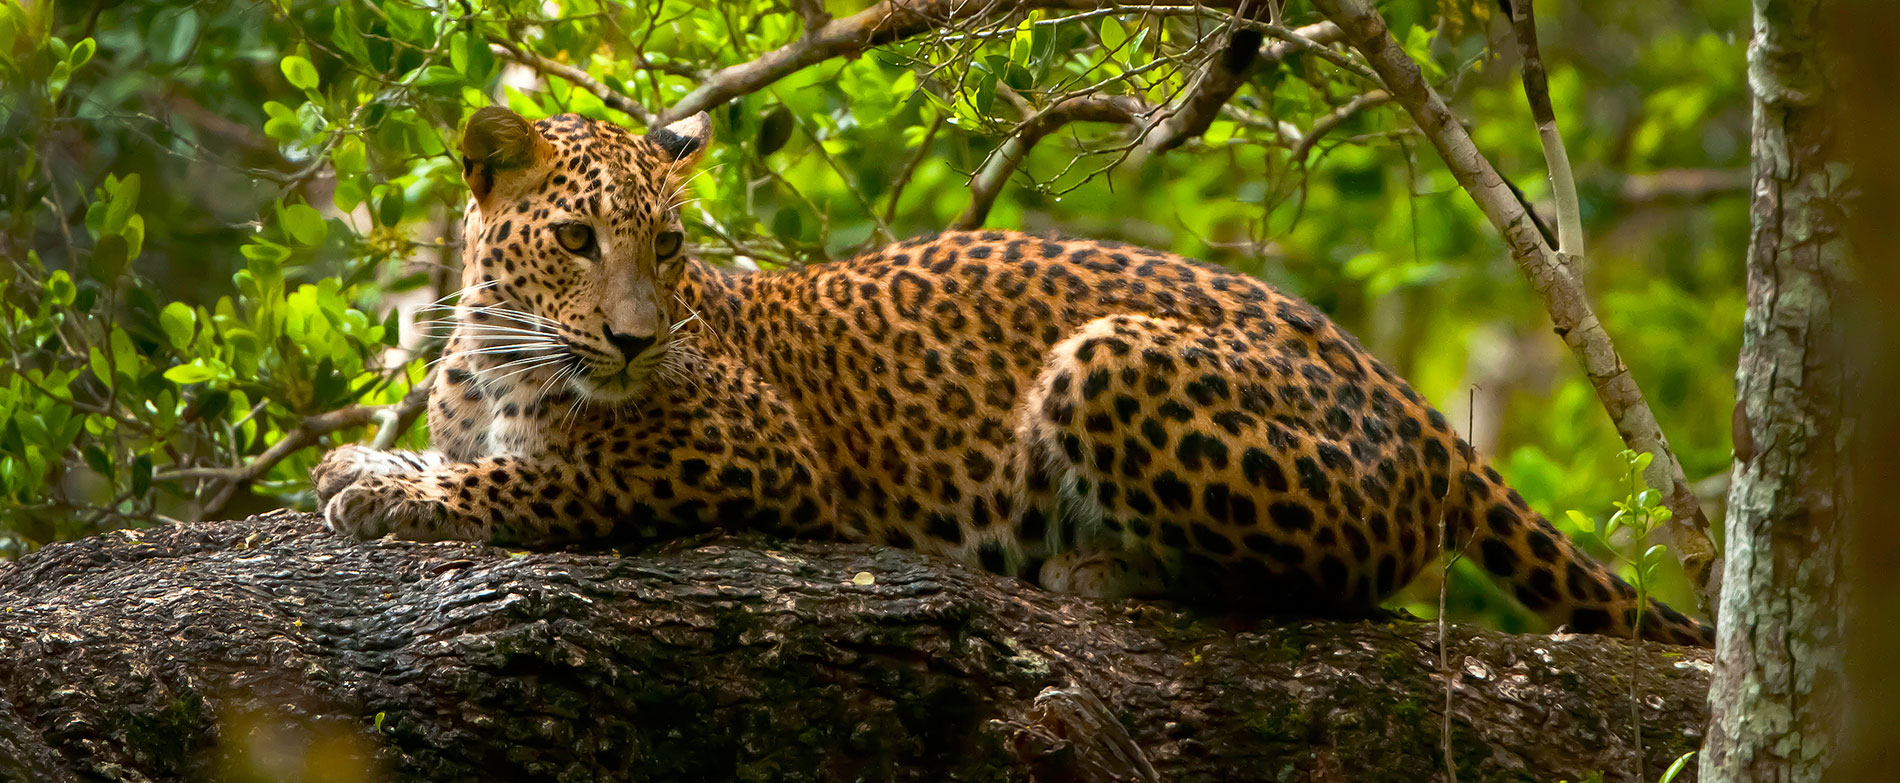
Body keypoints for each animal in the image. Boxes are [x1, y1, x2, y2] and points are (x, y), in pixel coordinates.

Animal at [312, 105, 1714, 647]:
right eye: (576, 241)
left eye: (668, 246)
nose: (636, 340)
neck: (497, 355)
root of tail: (1398, 392)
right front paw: (382, 458)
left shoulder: (749, 451)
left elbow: (554, 480)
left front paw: (391, 489)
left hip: (1110, 355)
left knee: (1329, 582)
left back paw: (1096, 568)